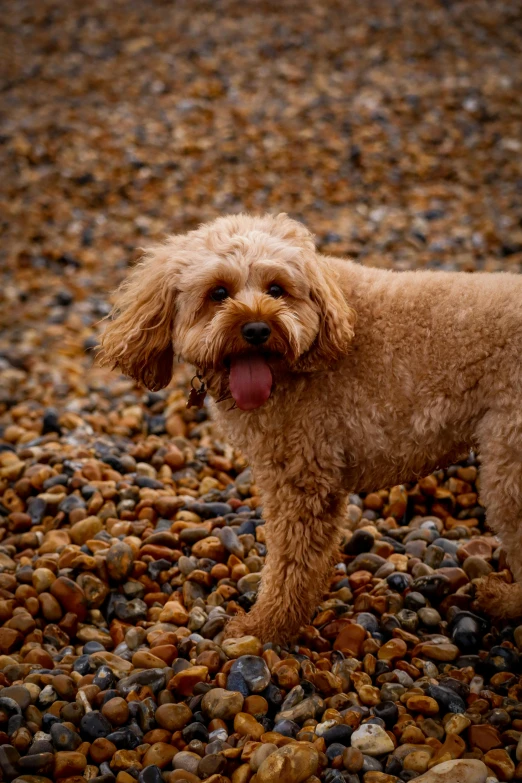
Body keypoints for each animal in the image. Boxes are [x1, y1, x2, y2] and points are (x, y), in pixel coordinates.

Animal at [99, 214, 520, 644]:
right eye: (218, 292)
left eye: (276, 289)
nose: (256, 329)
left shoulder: (302, 477)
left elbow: (291, 563)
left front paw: (265, 626)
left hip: (509, 466)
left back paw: (504, 600)